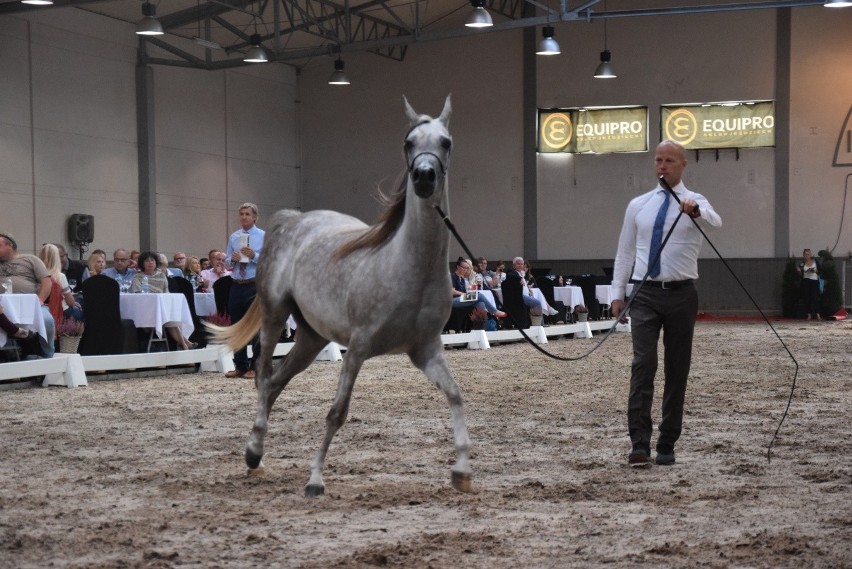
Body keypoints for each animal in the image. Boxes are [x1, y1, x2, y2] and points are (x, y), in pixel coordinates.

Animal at [207, 96, 472, 496]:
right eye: (408, 142)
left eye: (446, 142)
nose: (424, 177)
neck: (409, 267)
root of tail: (294, 220)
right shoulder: (358, 348)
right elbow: (337, 412)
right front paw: (315, 479)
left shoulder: (425, 351)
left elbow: (455, 394)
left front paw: (461, 470)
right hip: (274, 316)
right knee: (262, 376)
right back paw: (254, 453)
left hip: (312, 337)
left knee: (276, 382)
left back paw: (257, 455)